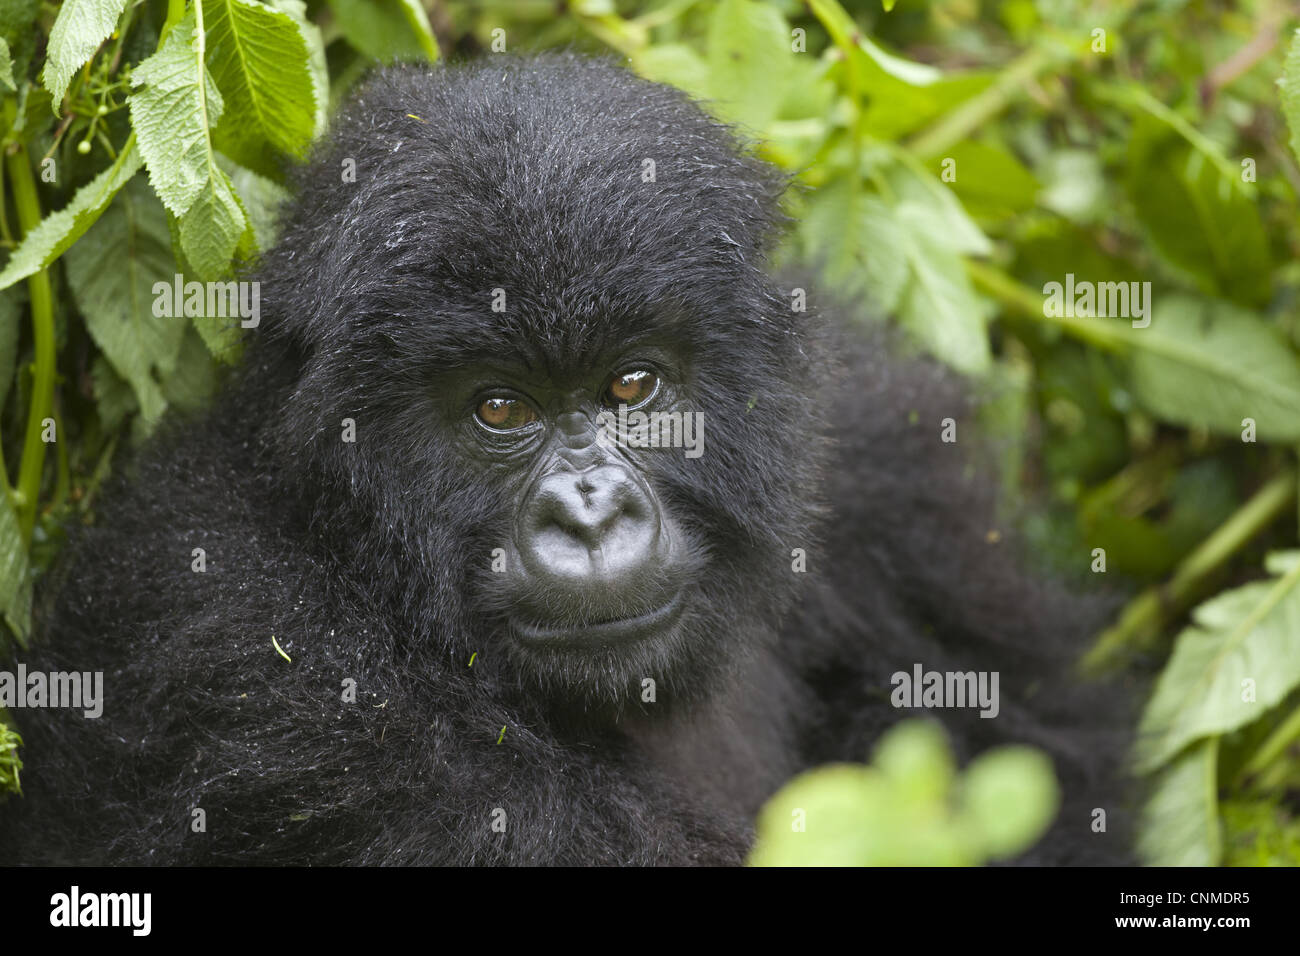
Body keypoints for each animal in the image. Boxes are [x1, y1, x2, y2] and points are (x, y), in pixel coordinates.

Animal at [0, 52, 1123, 868]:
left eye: (632, 386)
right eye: (500, 407)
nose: (589, 513)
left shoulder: (877, 453)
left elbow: (1045, 758)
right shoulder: (252, 650)